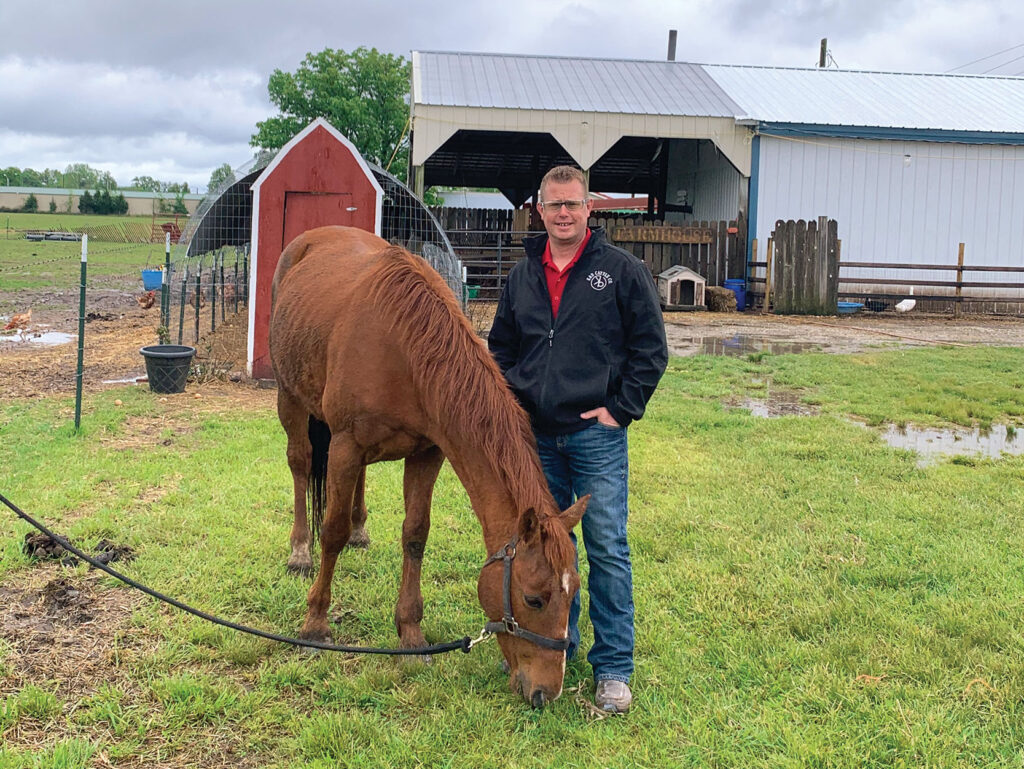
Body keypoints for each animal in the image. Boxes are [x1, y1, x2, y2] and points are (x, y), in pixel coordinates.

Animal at [269, 226, 587, 707]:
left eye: (575, 595)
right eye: (534, 599)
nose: (546, 693)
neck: (402, 347)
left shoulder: (427, 453)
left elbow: (415, 535)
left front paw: (411, 634)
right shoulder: (345, 445)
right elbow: (333, 531)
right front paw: (316, 624)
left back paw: (361, 531)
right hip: (291, 398)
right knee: (301, 465)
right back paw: (300, 550)